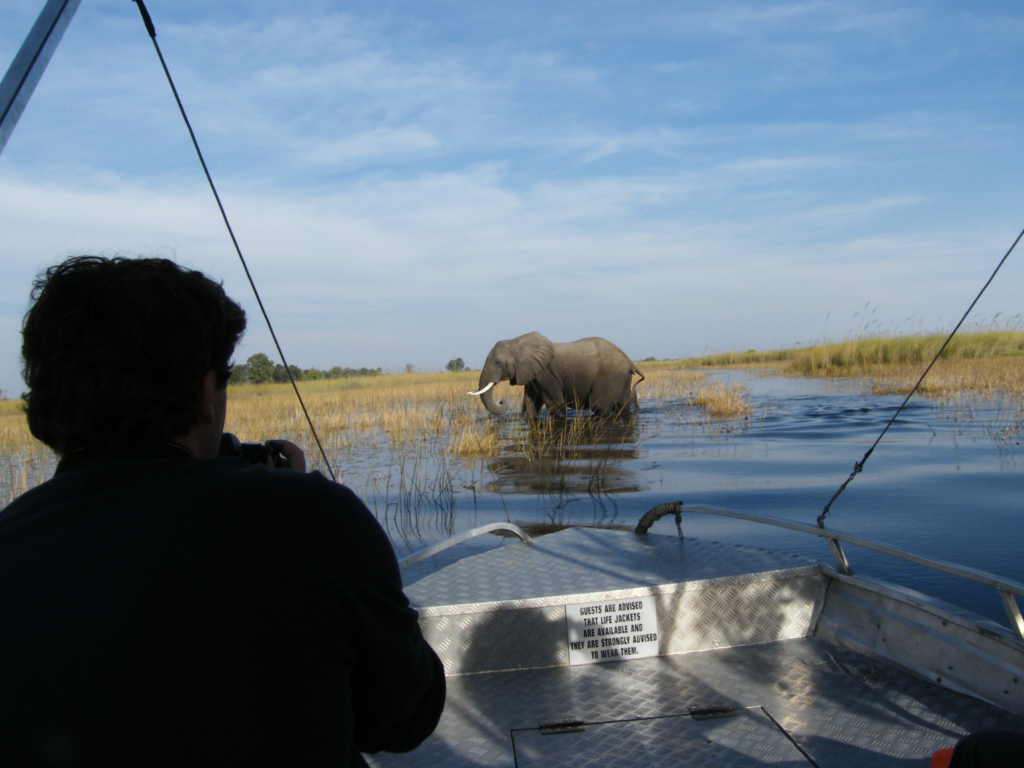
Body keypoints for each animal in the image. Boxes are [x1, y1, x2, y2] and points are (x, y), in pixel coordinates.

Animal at [468, 331, 643, 417]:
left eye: (498, 362)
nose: (501, 401)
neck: (517, 342)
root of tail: (630, 362)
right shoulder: (532, 375)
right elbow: (529, 406)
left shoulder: (546, 374)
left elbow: (556, 404)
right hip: (621, 379)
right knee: (623, 406)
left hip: (610, 376)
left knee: (599, 406)